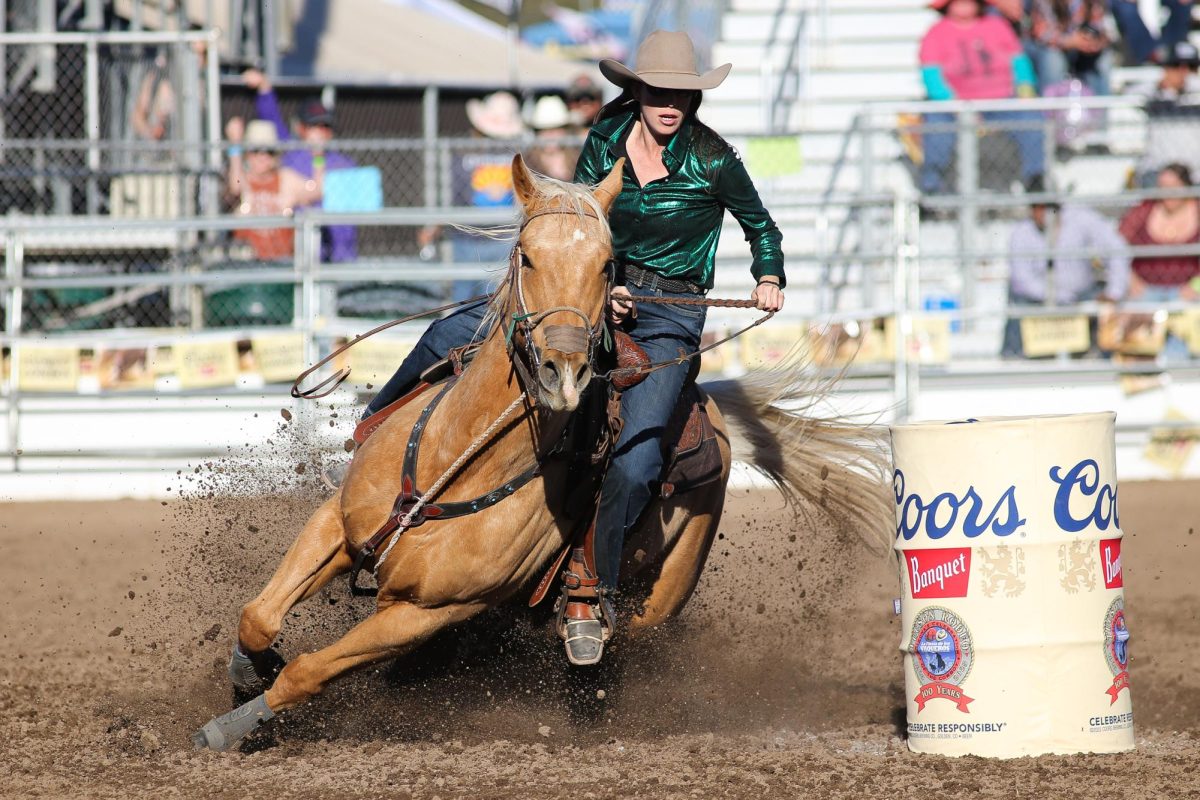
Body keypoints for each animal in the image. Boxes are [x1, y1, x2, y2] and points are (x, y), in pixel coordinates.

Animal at [194, 154, 892, 753]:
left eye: (608, 265)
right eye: (527, 257)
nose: (564, 370)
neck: (460, 460)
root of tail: (710, 410)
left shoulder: (426, 613)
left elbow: (309, 671)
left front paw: (230, 726)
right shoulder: (337, 527)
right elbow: (258, 616)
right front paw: (250, 668)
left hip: (664, 593)